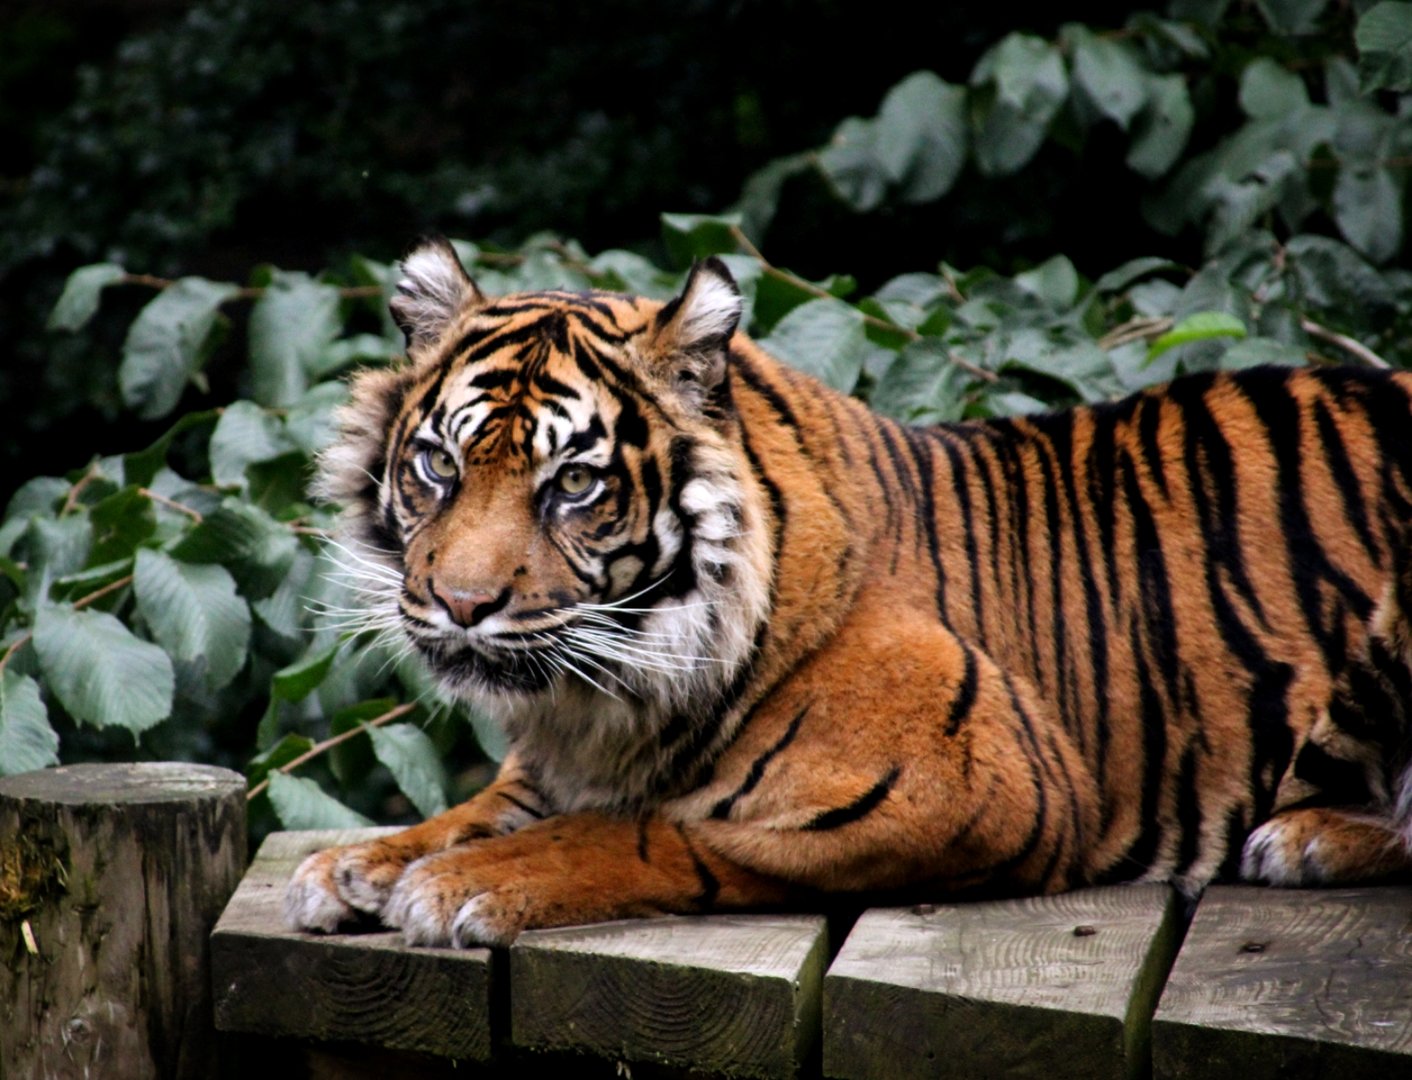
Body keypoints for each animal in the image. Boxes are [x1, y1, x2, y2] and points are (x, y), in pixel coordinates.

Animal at [285, 236, 1412, 948]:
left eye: (571, 484)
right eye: (438, 465)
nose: (460, 604)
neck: (607, 703)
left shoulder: (969, 786)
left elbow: (643, 830)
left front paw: (457, 885)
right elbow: (484, 809)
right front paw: (359, 864)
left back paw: (1308, 836)